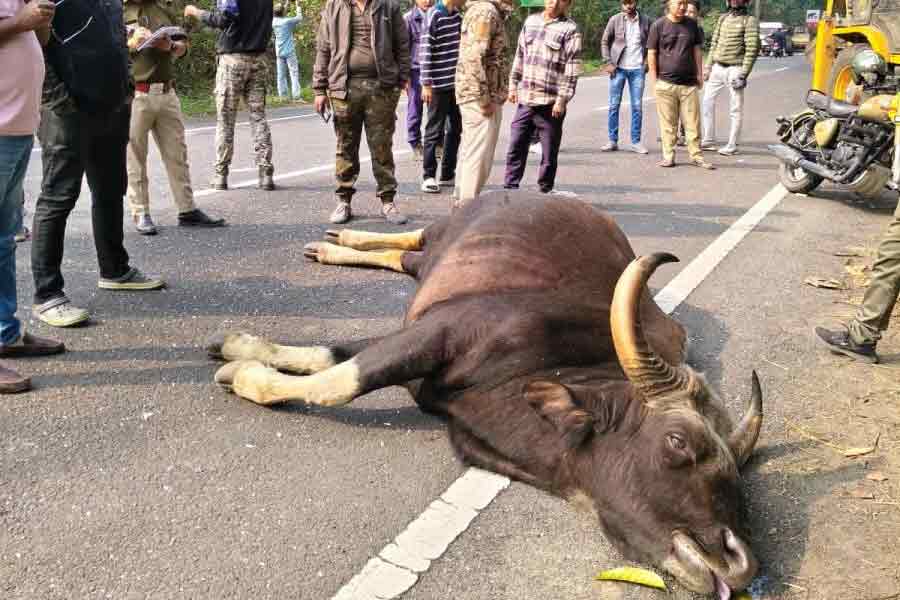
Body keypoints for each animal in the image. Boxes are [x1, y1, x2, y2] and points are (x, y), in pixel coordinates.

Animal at [209, 192, 762, 597]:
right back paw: (345, 235)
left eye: (738, 471)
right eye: (678, 441)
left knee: (405, 259)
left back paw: (335, 245)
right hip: (446, 231)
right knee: (414, 237)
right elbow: (341, 379)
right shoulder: (436, 332)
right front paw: (243, 367)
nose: (737, 563)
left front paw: (238, 353)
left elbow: (332, 358)